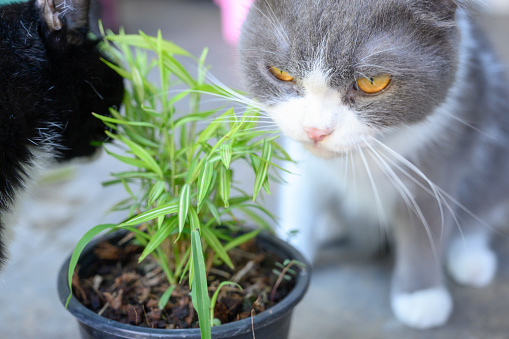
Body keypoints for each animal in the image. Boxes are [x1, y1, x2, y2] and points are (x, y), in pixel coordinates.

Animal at [238, 0, 508, 330]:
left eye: (372, 82)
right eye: (281, 73)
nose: (316, 130)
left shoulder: (438, 159)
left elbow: (426, 230)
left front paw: (421, 297)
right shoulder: (306, 167)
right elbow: (300, 206)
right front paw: (291, 258)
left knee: (482, 208)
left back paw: (471, 259)